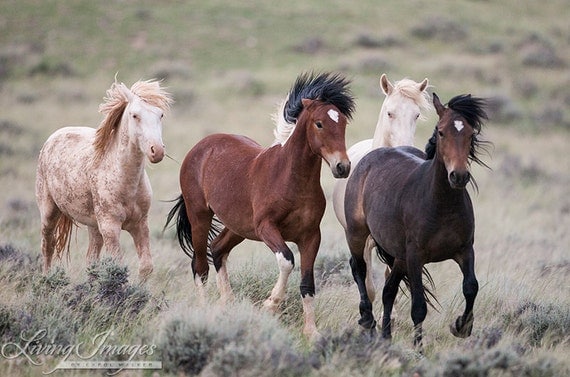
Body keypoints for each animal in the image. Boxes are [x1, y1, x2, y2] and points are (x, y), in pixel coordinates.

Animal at [35, 78, 172, 280]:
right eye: (135, 115)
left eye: (160, 114)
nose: (157, 151)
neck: (125, 181)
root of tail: (52, 138)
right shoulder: (110, 227)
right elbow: (118, 267)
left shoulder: (140, 224)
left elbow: (146, 266)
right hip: (49, 213)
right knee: (47, 248)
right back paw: (46, 279)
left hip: (94, 226)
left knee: (91, 260)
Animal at [162, 72, 352, 340]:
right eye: (319, 124)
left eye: (343, 123)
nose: (342, 167)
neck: (289, 179)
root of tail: (201, 147)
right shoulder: (266, 228)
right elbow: (287, 260)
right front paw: (270, 305)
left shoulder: (311, 236)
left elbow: (307, 284)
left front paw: (312, 332)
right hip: (200, 216)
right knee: (200, 266)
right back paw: (204, 313)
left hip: (238, 227)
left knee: (217, 249)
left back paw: (227, 306)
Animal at [342, 92, 488, 346]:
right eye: (441, 132)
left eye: (471, 133)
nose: (459, 176)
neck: (441, 205)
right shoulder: (416, 257)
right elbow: (419, 306)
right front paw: (418, 348)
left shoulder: (465, 250)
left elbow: (471, 287)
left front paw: (461, 326)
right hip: (358, 235)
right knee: (359, 269)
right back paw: (368, 320)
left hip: (399, 256)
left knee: (388, 291)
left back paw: (386, 336)